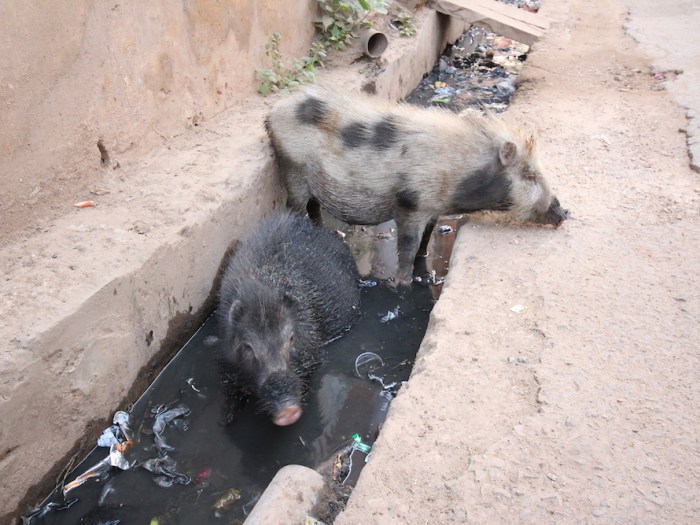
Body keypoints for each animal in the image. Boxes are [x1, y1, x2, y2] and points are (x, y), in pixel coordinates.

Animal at [265, 86, 569, 285]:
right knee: (296, 206)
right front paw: (403, 283)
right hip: (292, 168)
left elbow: (427, 237)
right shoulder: (410, 205)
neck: (458, 175)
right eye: (529, 175)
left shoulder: (433, 209)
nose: (564, 212)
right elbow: (408, 245)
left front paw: (425, 260)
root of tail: (272, 113)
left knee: (314, 207)